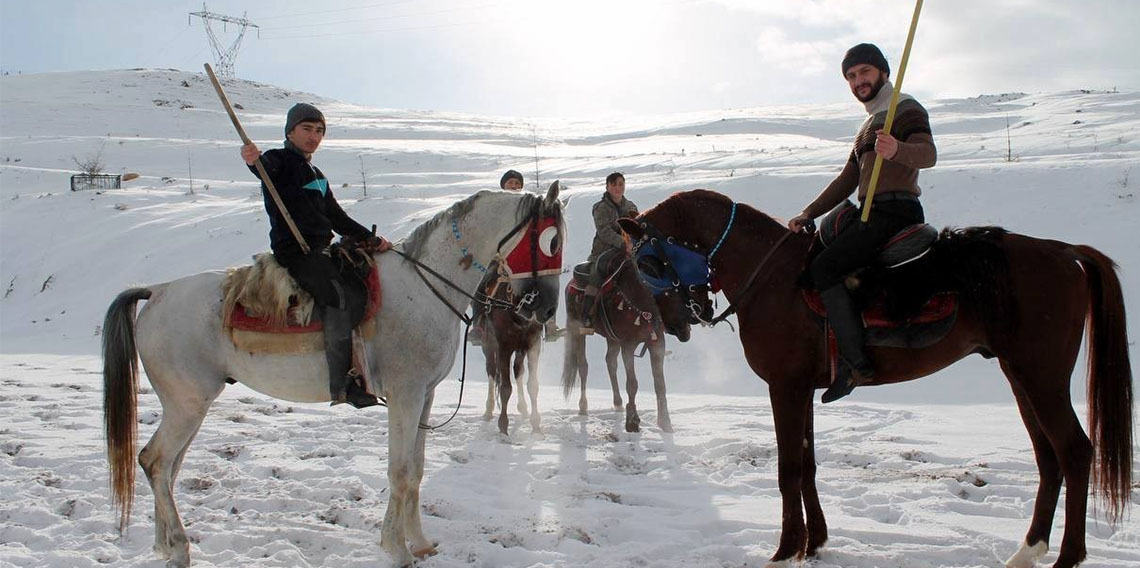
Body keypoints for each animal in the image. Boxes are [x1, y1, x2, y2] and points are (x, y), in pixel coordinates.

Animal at [100, 183, 563, 565]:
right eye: (551, 241)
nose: (545, 309)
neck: (424, 286)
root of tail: (158, 291)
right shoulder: (406, 397)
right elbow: (398, 472)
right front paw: (397, 549)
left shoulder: (425, 397)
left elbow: (415, 471)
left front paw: (419, 542)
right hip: (187, 405)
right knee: (155, 461)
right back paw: (179, 548)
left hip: (188, 406)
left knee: (167, 467)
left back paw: (164, 544)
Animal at [558, 255, 670, 433]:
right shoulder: (628, 346)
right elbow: (632, 383)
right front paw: (632, 421)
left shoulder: (657, 342)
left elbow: (660, 384)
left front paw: (665, 422)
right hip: (578, 331)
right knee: (583, 366)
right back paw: (583, 406)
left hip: (612, 338)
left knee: (610, 362)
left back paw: (618, 403)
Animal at [620, 189, 1135, 568]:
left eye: (647, 263)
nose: (675, 325)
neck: (772, 276)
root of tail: (1063, 251)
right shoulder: (803, 389)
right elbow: (807, 466)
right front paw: (815, 543)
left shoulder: (785, 388)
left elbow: (788, 470)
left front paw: (786, 550)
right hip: (1022, 378)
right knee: (1049, 459)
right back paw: (1028, 551)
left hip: (1042, 378)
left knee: (1075, 452)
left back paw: (1067, 557)